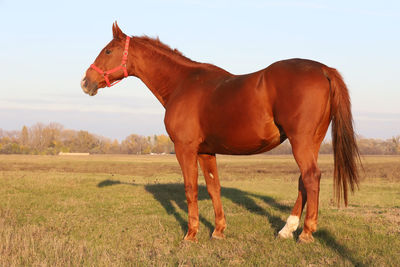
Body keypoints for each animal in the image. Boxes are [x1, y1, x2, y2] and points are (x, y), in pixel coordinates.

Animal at [80, 22, 360, 245]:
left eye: (108, 50)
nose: (85, 82)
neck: (183, 84)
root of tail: (323, 69)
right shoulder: (206, 152)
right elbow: (214, 187)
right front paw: (218, 231)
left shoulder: (185, 148)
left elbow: (190, 188)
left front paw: (191, 234)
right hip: (311, 142)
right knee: (304, 180)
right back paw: (286, 229)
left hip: (300, 141)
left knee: (311, 178)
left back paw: (306, 233)